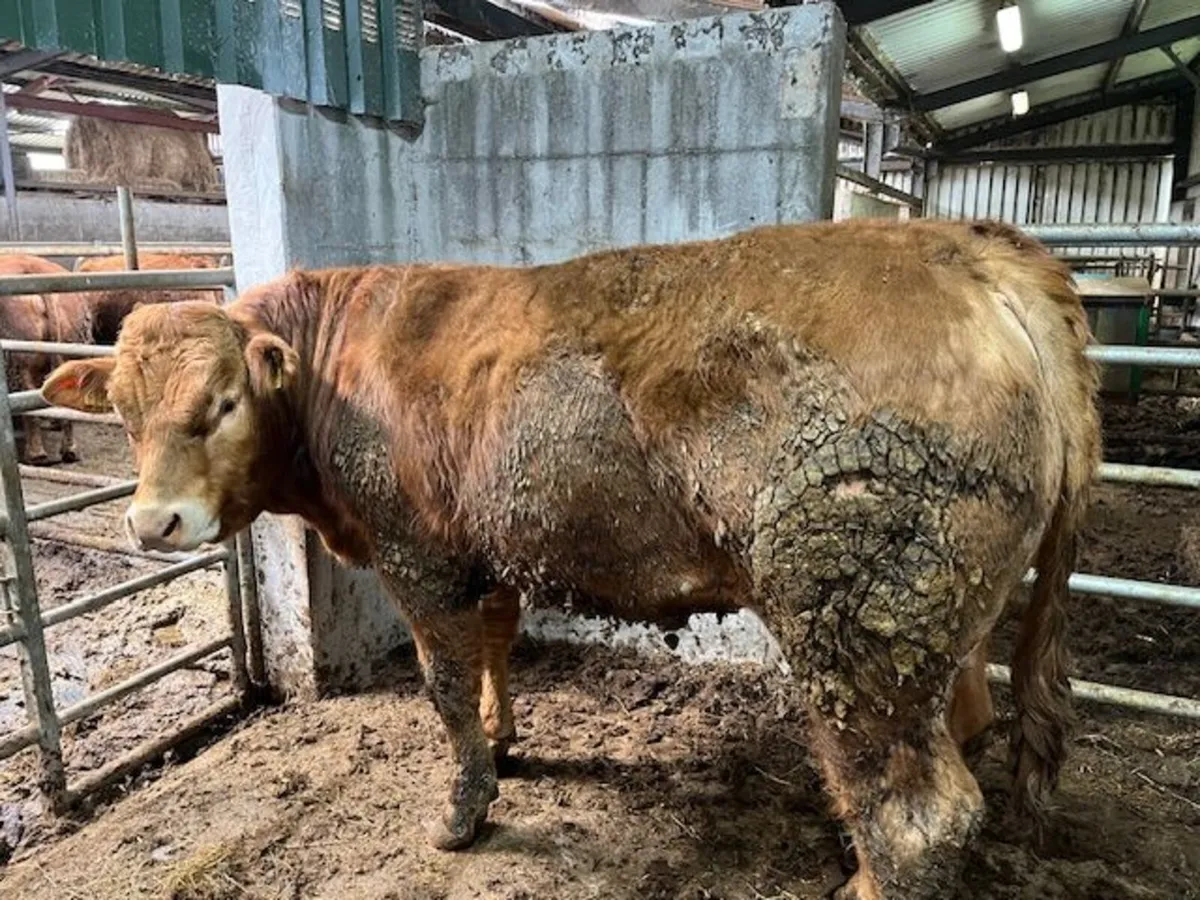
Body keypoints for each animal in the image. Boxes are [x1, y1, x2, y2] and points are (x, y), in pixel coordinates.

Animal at [42, 219, 1100, 900]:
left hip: (856, 623)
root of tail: (968, 250)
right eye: (124, 414)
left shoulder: (417, 556)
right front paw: (504, 738)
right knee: (966, 725)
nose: (154, 523)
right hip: (939, 618)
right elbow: (496, 649)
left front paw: (464, 810)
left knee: (919, 813)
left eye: (222, 403)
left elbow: (442, 682)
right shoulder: (487, 548)